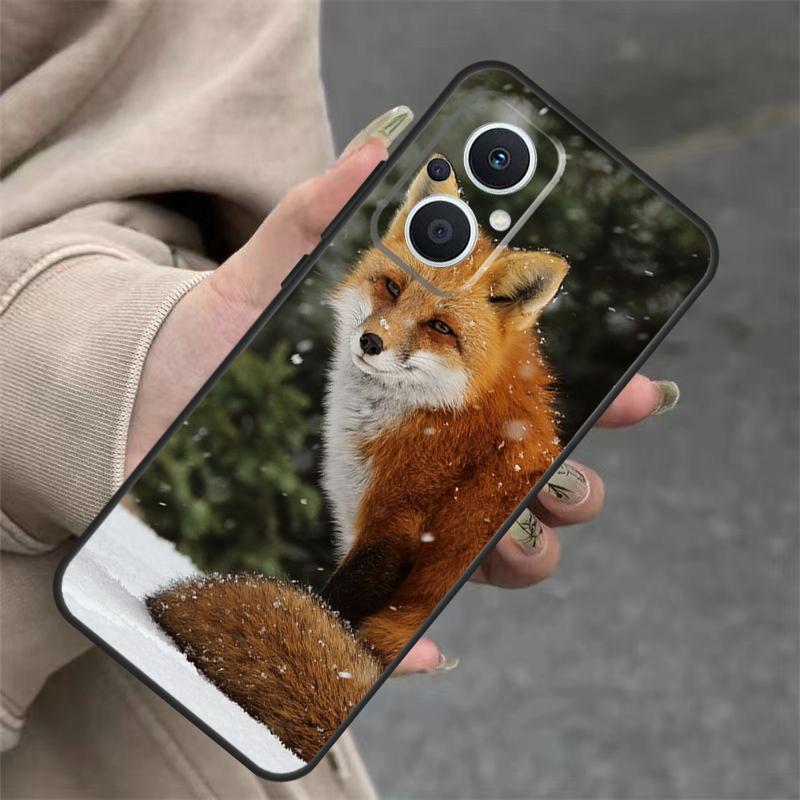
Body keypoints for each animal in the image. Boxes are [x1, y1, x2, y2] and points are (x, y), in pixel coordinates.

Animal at [148, 159, 568, 761]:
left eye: (440, 327)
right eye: (391, 286)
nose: (371, 342)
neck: (442, 415)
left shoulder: (394, 530)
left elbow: (332, 605)